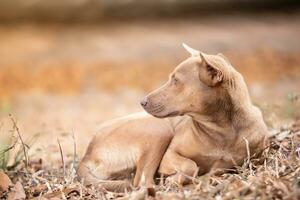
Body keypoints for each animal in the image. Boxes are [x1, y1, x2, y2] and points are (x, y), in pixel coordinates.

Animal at [77, 43, 270, 191]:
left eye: (176, 80)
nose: (142, 101)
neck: (222, 129)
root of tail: (87, 154)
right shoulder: (169, 155)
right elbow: (190, 165)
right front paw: (175, 179)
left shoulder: (255, 157)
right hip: (159, 128)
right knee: (142, 181)